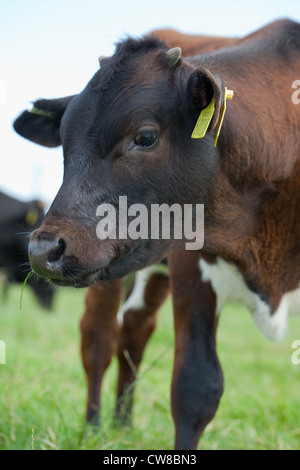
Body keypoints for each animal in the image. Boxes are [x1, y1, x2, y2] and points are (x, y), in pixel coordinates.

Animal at [13, 20, 300, 450]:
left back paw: (122, 426)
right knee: (98, 337)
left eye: (145, 137)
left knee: (134, 329)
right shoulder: (190, 263)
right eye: (64, 142)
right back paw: (95, 429)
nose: (43, 248)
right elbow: (196, 386)